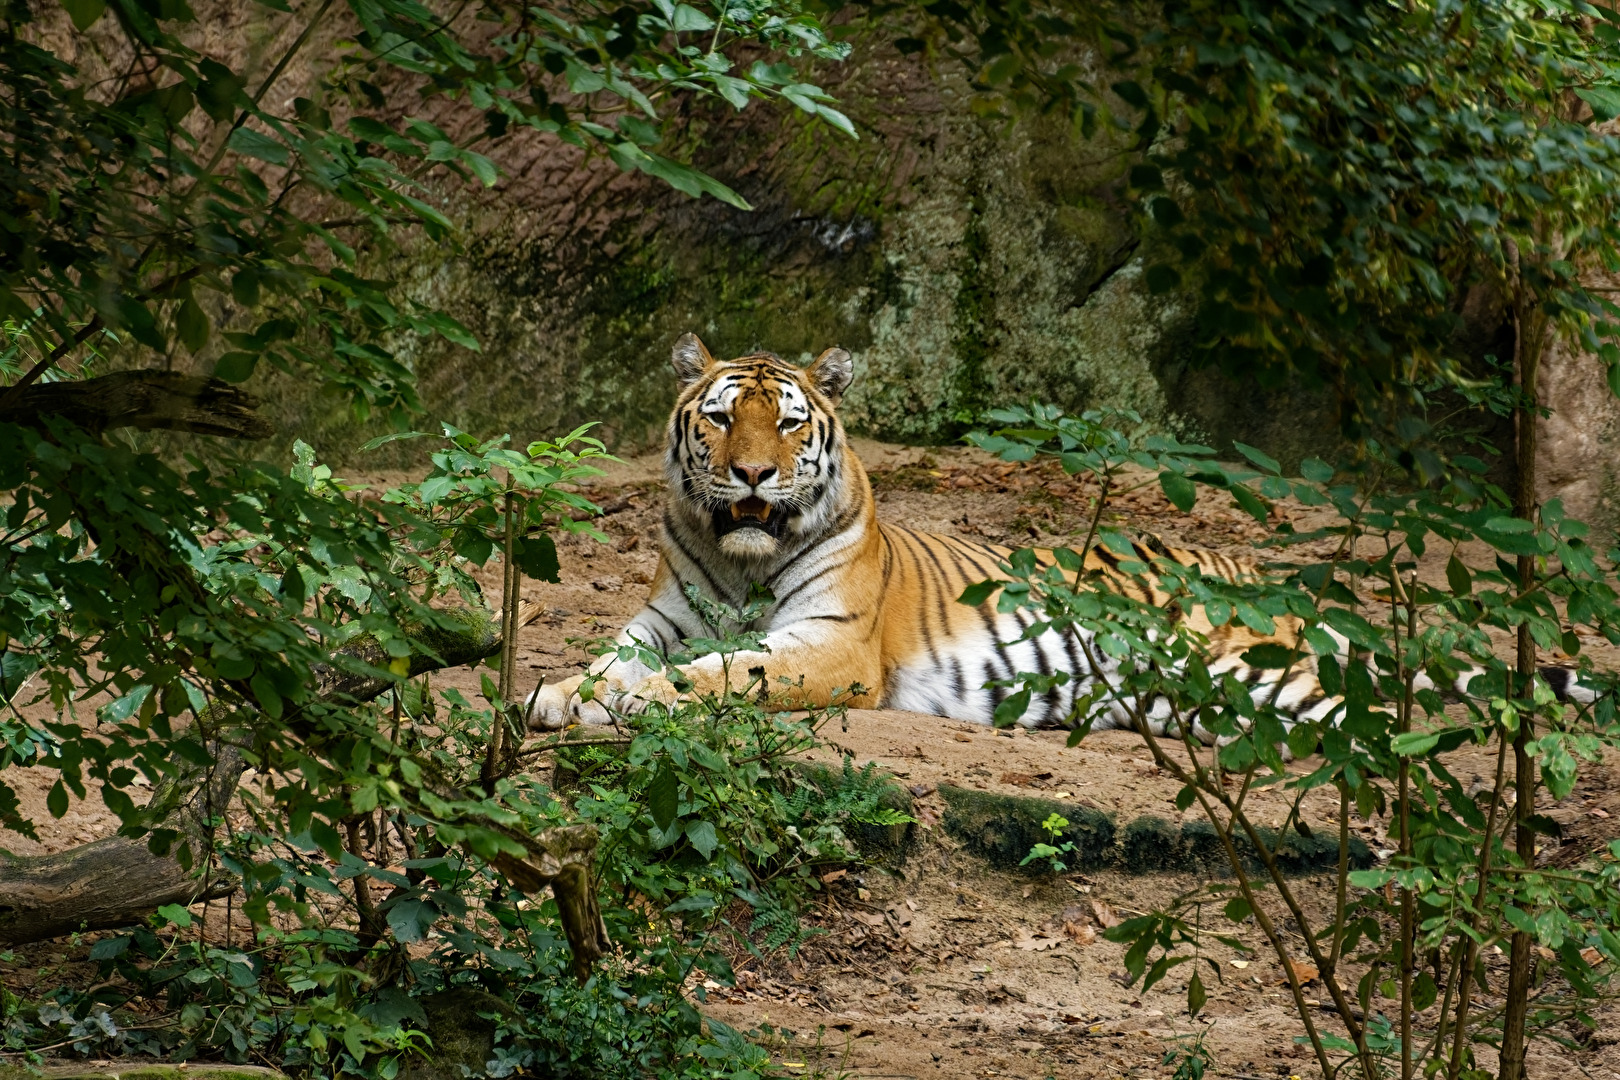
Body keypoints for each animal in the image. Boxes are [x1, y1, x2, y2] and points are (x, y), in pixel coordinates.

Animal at [524, 333, 1591, 738]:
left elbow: (721, 675)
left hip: (1257, 668)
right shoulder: (662, 617)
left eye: (786, 425)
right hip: (1214, 697)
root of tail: (1266, 577)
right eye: (718, 420)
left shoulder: (833, 648)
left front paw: (627, 701)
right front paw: (561, 692)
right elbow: (614, 654)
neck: (742, 561)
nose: (750, 475)